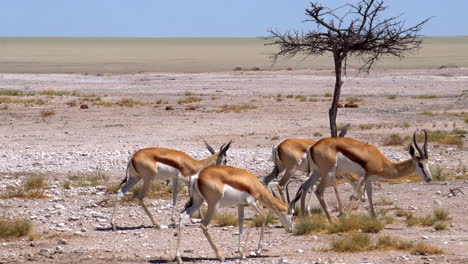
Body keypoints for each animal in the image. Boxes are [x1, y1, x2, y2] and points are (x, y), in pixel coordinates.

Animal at [304, 131, 432, 222]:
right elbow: (354, 196)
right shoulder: (363, 176)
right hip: (328, 173)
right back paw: (331, 220)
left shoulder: (369, 179)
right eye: (420, 164)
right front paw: (346, 218)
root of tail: (313, 147)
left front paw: (374, 218)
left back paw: (304, 216)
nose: (429, 178)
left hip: (317, 172)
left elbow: (370, 196)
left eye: (427, 162)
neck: (380, 161)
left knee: (307, 187)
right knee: (318, 191)